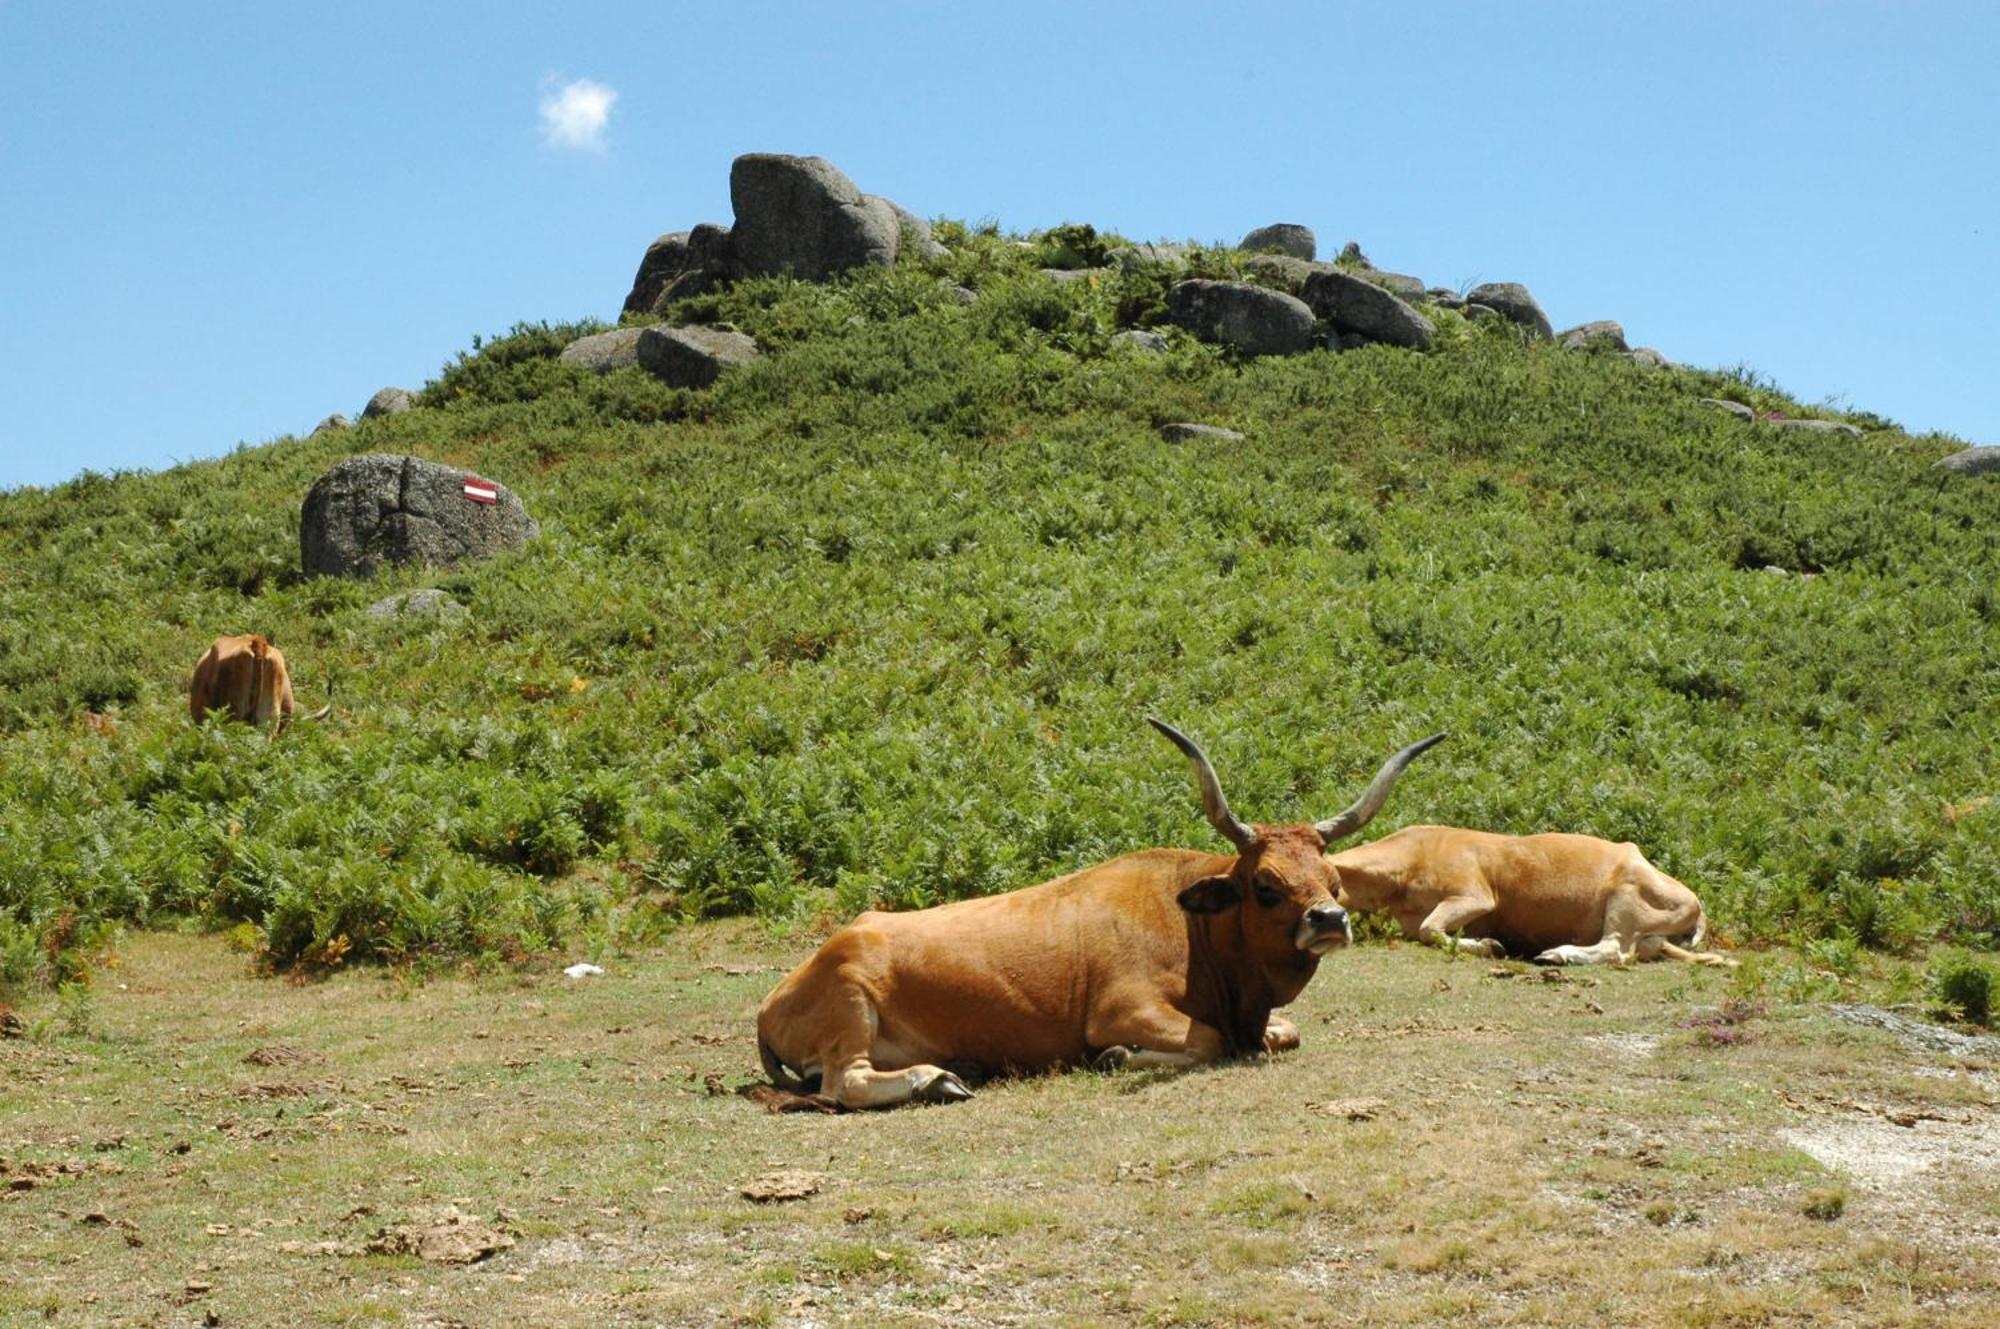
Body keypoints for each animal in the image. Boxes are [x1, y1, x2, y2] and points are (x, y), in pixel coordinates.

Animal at [756, 720, 1448, 1104]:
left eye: (1333, 879)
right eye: (1266, 885)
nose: (1329, 921)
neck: (1195, 929)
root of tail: (776, 996)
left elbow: (1284, 1032)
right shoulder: (1124, 1009)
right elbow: (1208, 1039)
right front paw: (1116, 1057)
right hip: (852, 1005)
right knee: (845, 1084)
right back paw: (936, 1081)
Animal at [1328, 832, 1736, 964]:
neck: (1415, 852)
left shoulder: (1474, 897)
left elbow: (1432, 929)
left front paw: (1491, 945)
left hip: (1624, 900)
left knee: (1615, 950)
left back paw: (1556, 955)